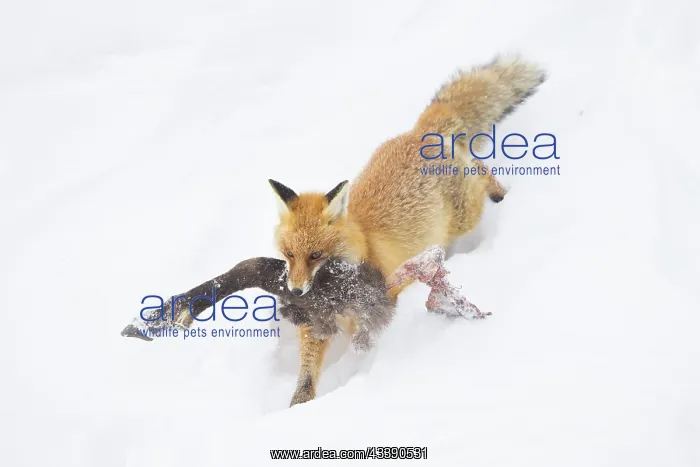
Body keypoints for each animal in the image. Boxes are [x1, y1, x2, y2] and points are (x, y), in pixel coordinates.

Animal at [269, 56, 547, 406]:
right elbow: (306, 372)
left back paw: (500, 193)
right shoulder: (315, 323)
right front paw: (299, 404)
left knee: (479, 169)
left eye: (316, 254)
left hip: (466, 215)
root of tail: (420, 133)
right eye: (289, 254)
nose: (295, 292)